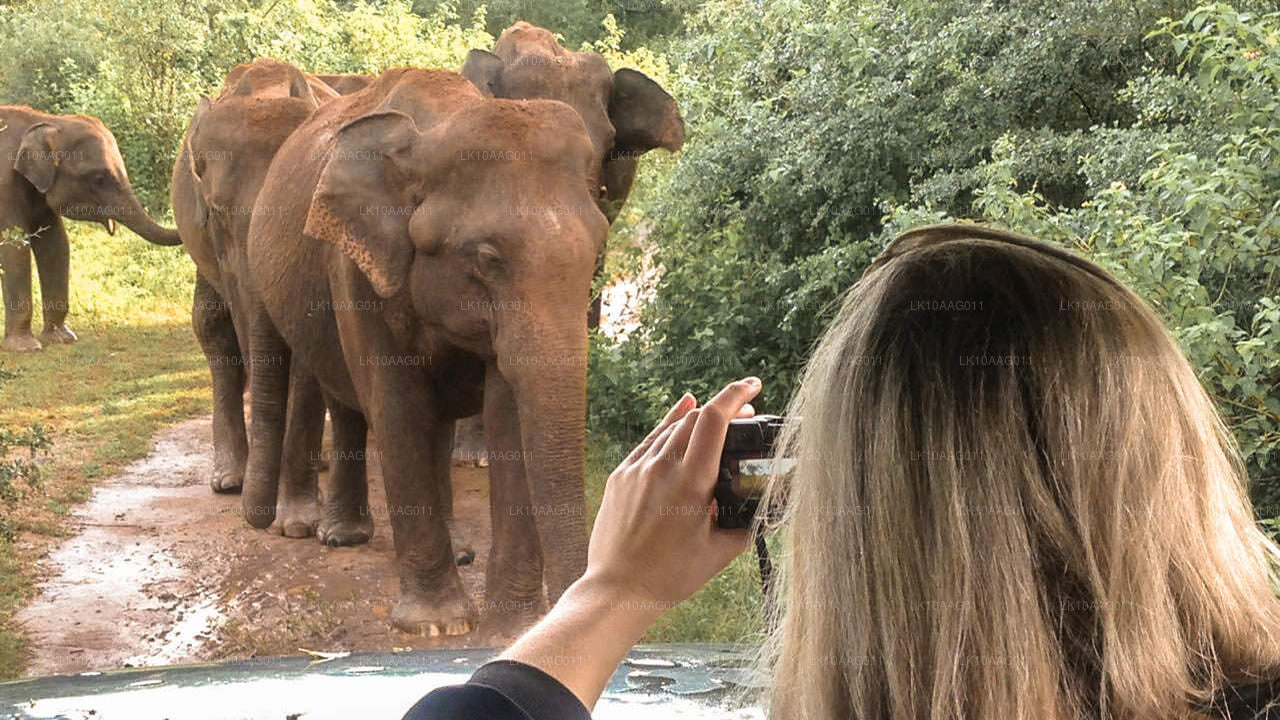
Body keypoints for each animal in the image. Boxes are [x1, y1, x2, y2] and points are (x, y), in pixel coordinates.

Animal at [0, 105, 185, 351]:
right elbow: (15, 247)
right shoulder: (5, 186)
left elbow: (55, 244)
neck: (46, 120)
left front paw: (62, 338)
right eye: (98, 179)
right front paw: (26, 347)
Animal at [245, 64, 609, 630]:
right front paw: (436, 622)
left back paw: (459, 549)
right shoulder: (355, 264)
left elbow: (506, 413)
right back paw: (342, 537)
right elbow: (397, 406)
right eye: (486, 258)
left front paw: (514, 627)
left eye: (598, 252)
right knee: (348, 402)